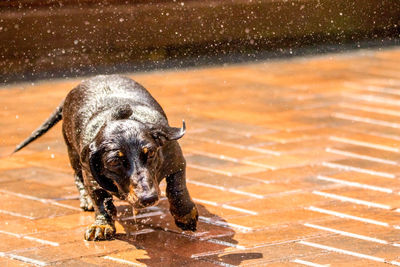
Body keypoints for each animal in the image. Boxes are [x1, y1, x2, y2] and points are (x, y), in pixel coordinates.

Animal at [14, 75, 198, 241]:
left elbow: (176, 188)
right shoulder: (90, 174)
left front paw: (185, 216)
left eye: (151, 153)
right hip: (73, 153)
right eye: (114, 162)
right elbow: (100, 200)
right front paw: (101, 225)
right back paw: (86, 199)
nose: (149, 198)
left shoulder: (176, 160)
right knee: (77, 176)